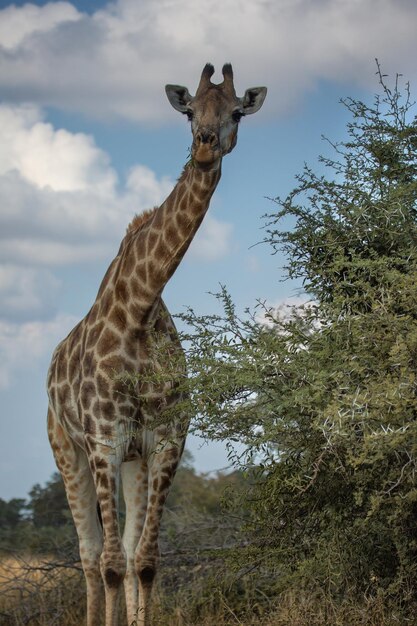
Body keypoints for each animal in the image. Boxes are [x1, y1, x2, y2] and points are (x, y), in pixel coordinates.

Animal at [46, 59, 266, 624]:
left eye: (237, 111)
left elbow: (143, 560)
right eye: (189, 111)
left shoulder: (165, 440)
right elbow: (108, 563)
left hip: (132, 460)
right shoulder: (103, 439)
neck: (141, 308)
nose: (205, 144)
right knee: (89, 557)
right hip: (67, 449)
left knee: (121, 551)